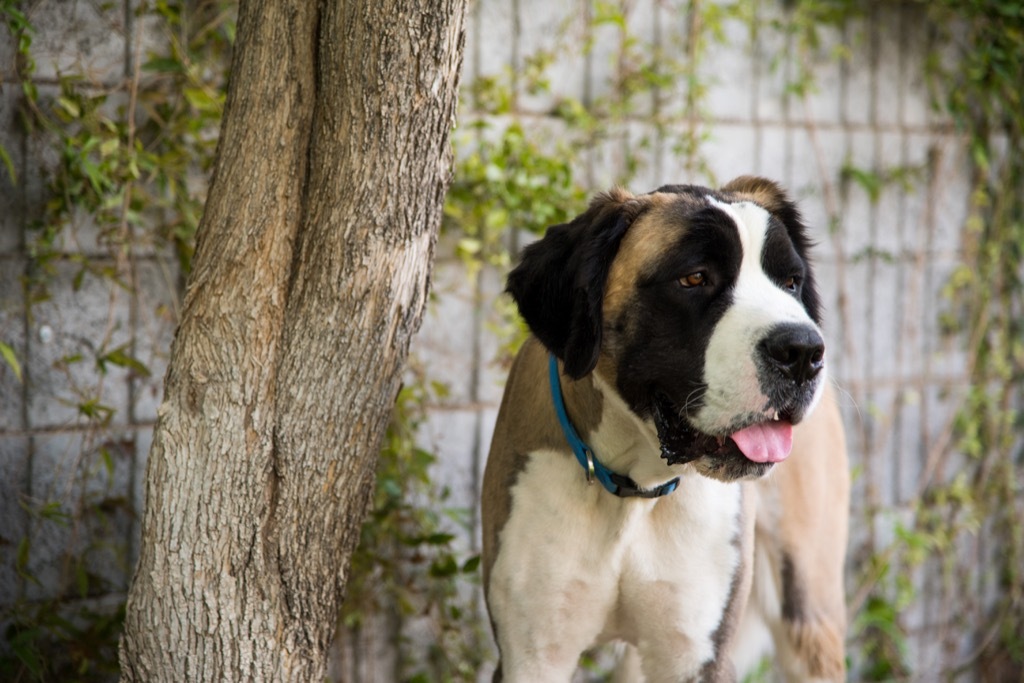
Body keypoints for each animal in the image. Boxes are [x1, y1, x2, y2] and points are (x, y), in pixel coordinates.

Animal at [479, 178, 847, 683]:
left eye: (791, 283)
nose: (803, 351)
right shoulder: (532, 655)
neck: (634, 487)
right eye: (694, 279)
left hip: (808, 607)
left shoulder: (694, 656)